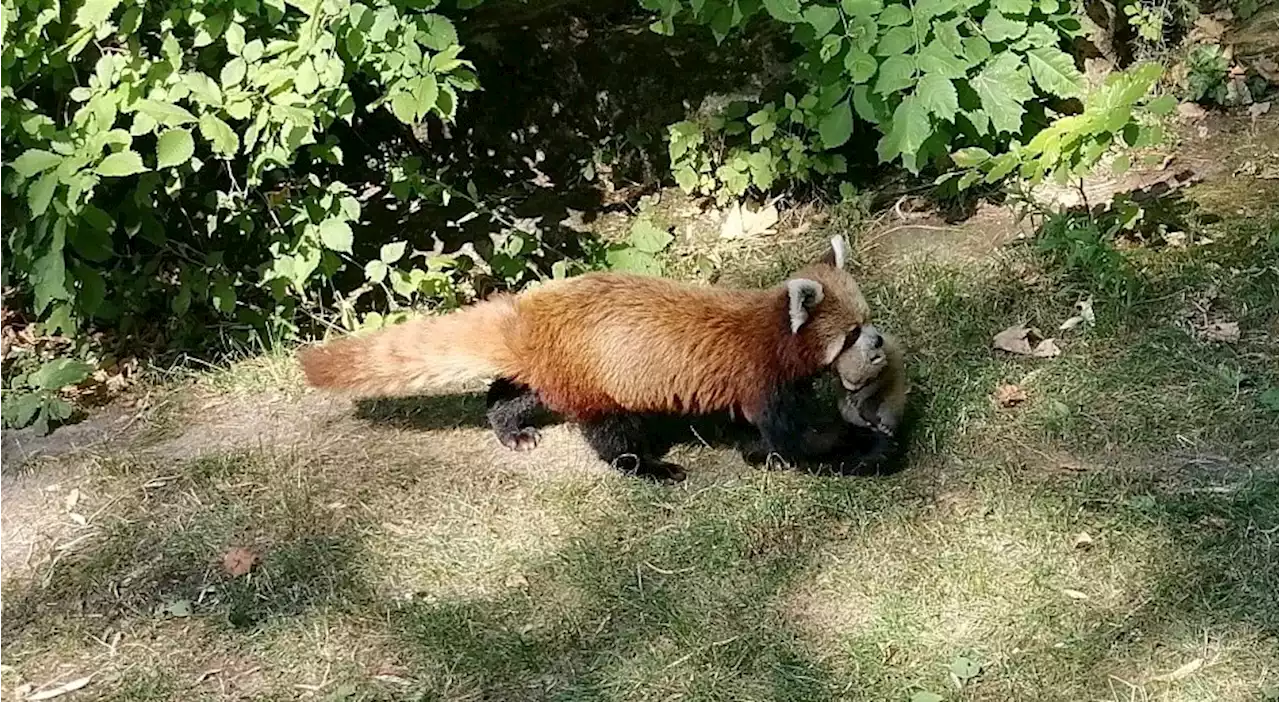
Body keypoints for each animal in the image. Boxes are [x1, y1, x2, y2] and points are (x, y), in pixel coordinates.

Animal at [299, 235, 870, 481]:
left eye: (867, 320)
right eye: (853, 334)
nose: (879, 343)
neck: (770, 327)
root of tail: (532, 311)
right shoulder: (761, 379)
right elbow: (786, 433)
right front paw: (834, 445)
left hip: (555, 368)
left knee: (515, 392)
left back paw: (510, 429)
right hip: (597, 380)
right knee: (610, 434)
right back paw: (650, 466)